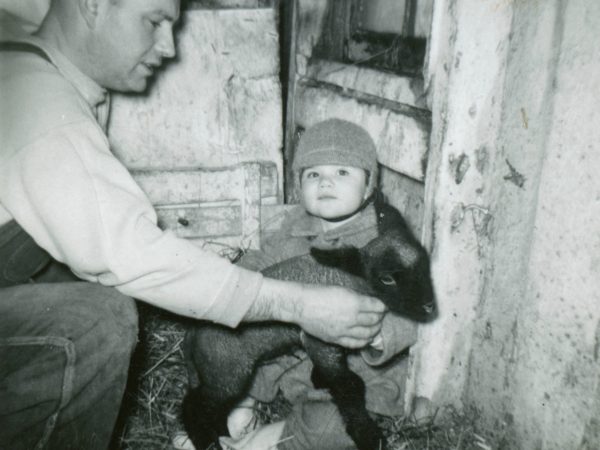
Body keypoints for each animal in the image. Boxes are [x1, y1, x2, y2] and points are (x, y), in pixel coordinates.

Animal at [182, 207, 436, 450]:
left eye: (425, 264)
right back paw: (209, 443)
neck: (347, 278)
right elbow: (349, 386)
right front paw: (368, 437)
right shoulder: (322, 339)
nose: (429, 306)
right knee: (195, 407)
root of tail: (191, 335)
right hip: (227, 372)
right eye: (387, 279)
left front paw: (319, 380)